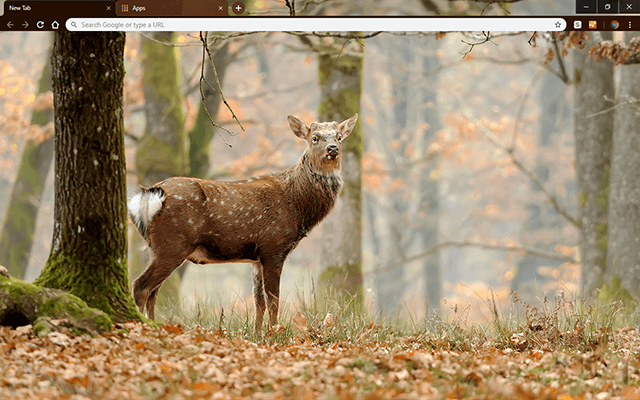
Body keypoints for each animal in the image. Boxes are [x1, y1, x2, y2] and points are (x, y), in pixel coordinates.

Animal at [128, 113, 358, 331]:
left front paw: (257, 333)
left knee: (153, 292)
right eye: (314, 138)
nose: (333, 149)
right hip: (173, 243)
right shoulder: (273, 247)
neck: (298, 207)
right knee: (141, 286)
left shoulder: (256, 258)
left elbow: (259, 302)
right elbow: (274, 300)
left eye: (339, 136)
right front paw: (276, 332)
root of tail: (149, 195)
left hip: (157, 247)